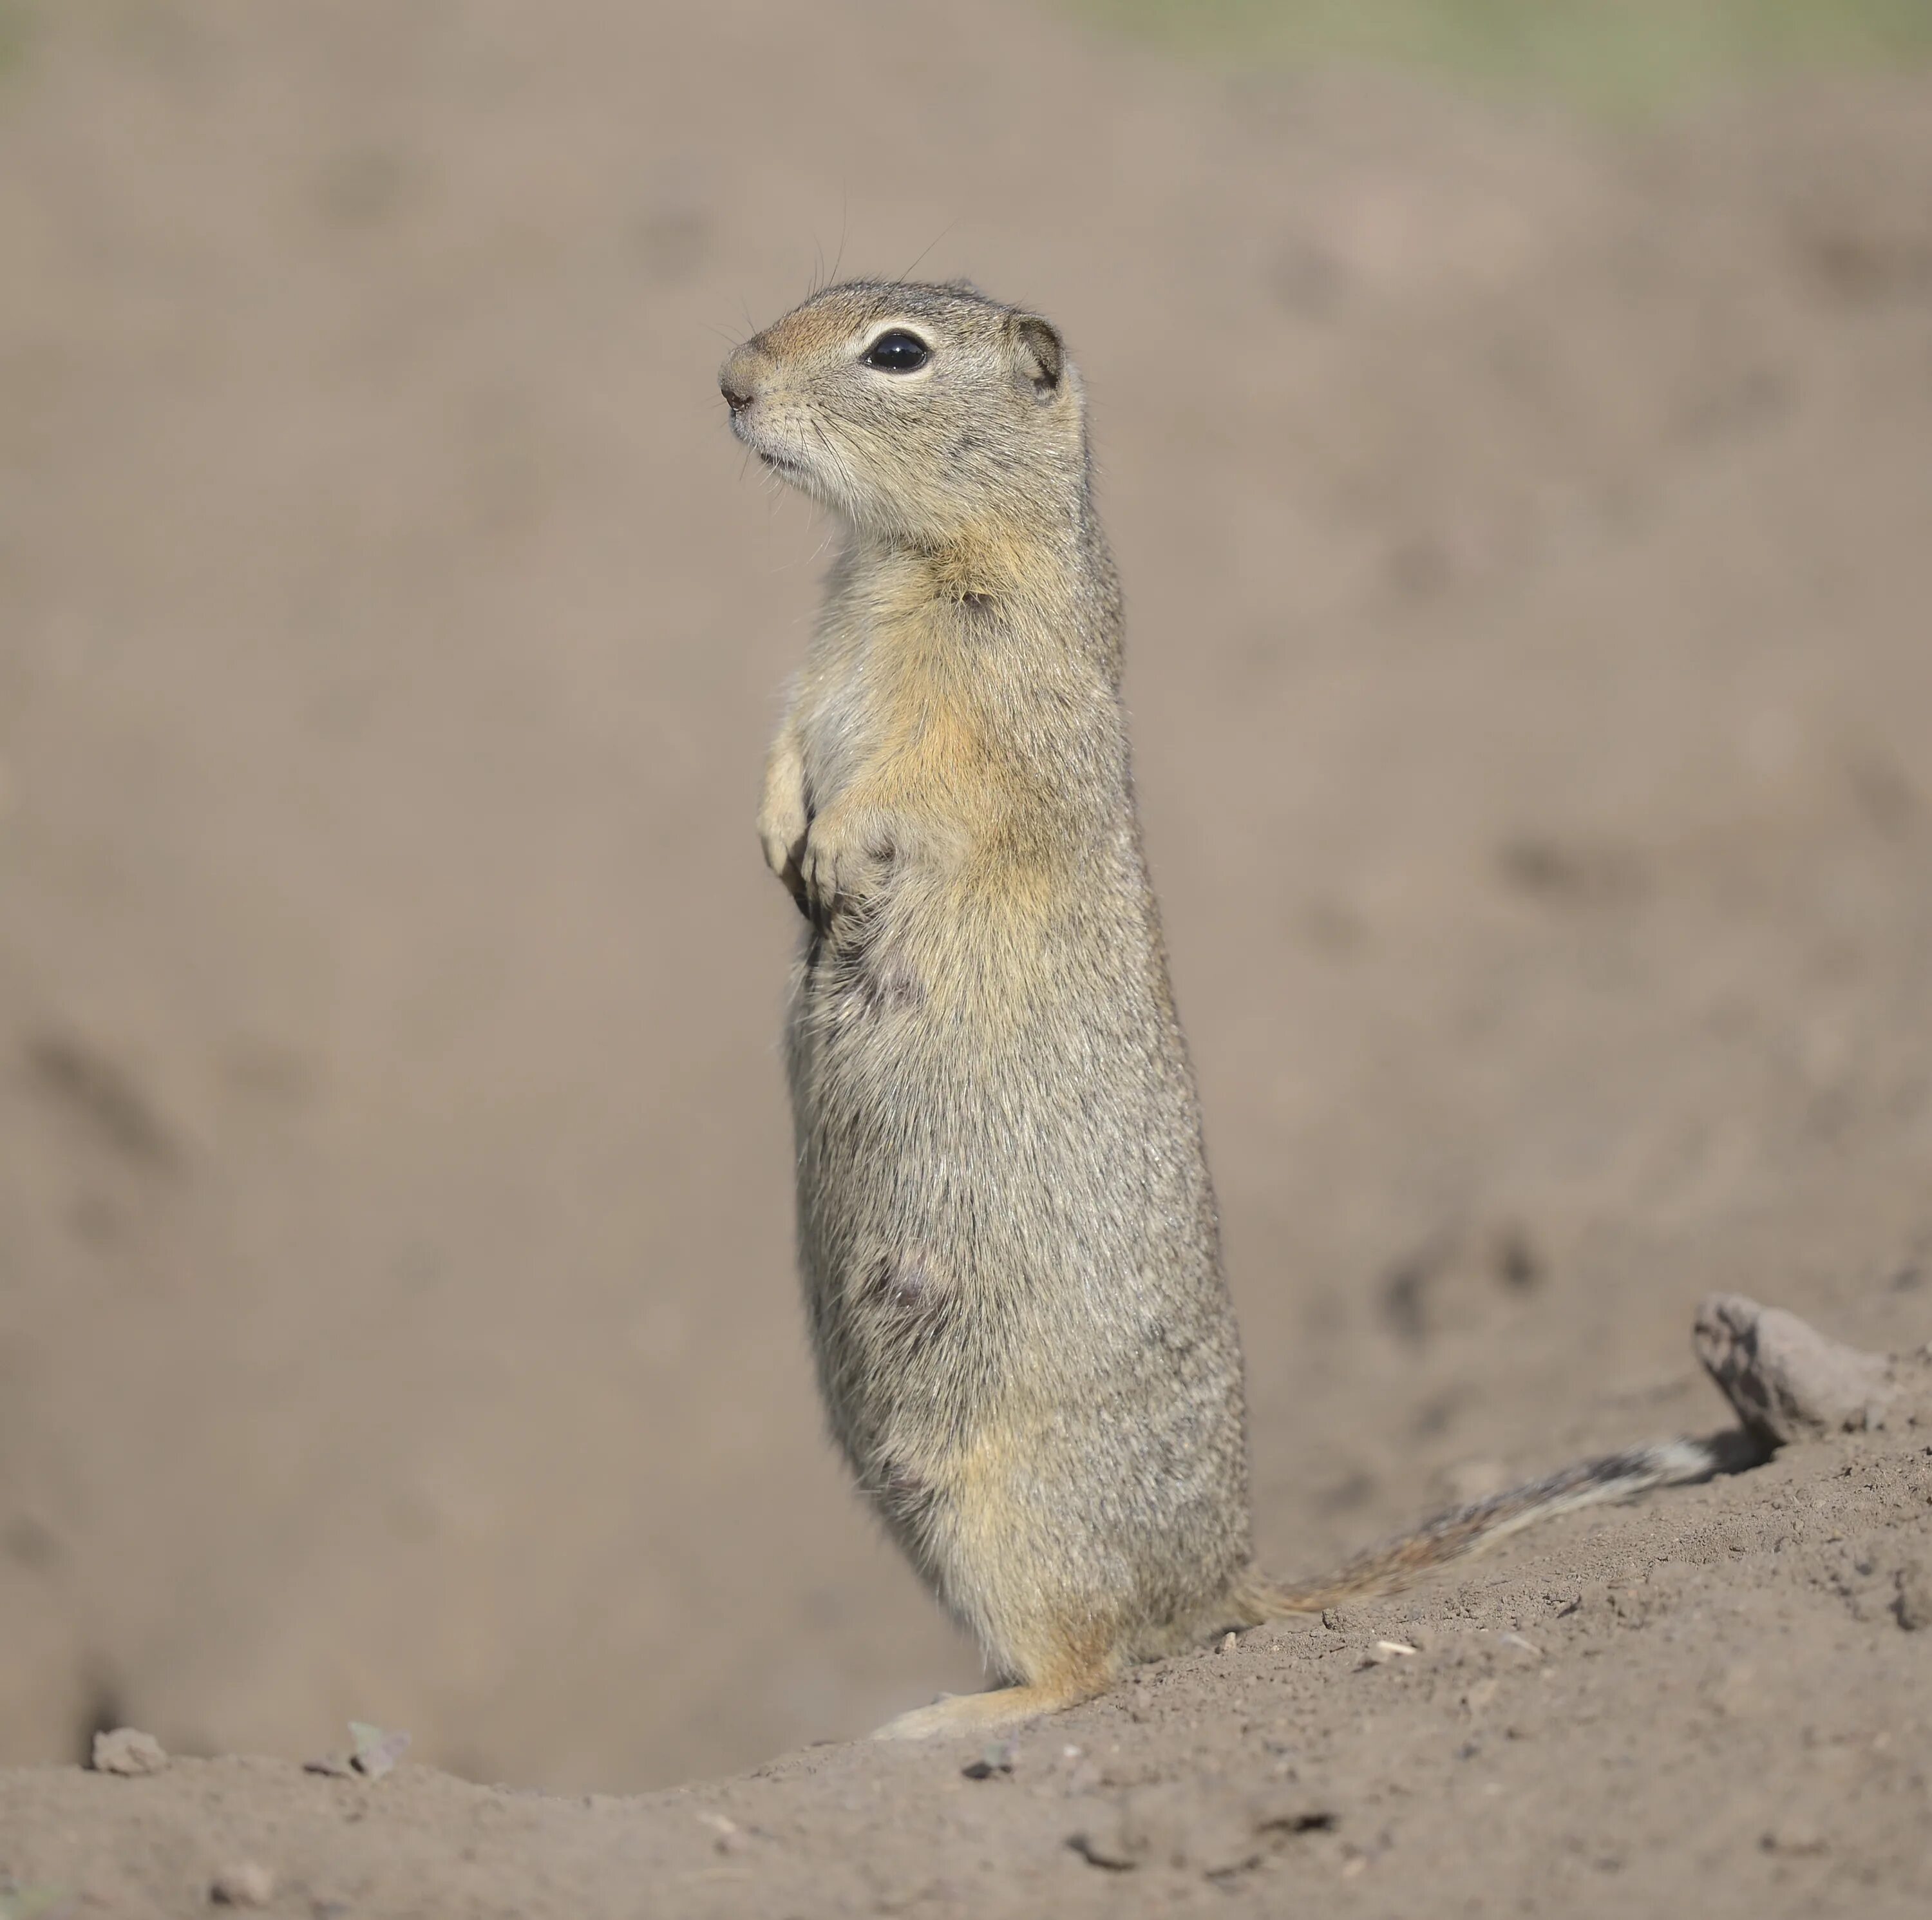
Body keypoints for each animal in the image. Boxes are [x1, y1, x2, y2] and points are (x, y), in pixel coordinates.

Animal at [723, 280, 1739, 1738]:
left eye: (897, 352)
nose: (732, 383)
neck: (904, 556)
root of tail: (1225, 1579)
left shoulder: (991, 699)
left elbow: (915, 789)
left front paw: (834, 849)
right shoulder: (820, 667)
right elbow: (788, 746)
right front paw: (778, 840)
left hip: (1014, 1510)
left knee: (1092, 1664)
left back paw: (945, 1722)